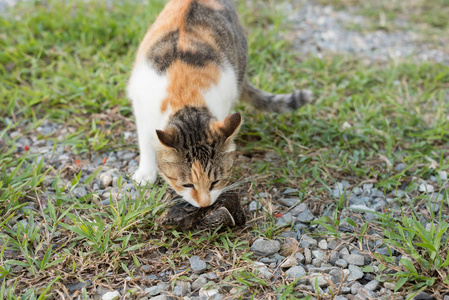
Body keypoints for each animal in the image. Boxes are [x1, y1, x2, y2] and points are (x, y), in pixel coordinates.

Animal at [128, 0, 312, 207]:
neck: (185, 98)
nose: (205, 204)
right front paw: (146, 173)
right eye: (187, 185)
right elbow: (145, 143)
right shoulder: (142, 109)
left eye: (215, 182)